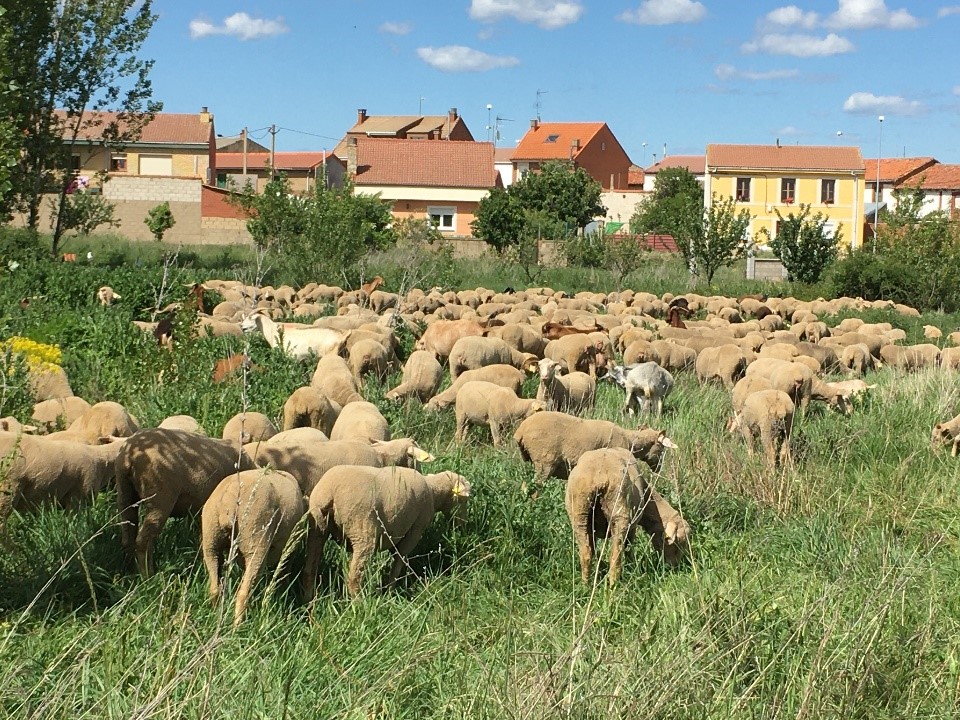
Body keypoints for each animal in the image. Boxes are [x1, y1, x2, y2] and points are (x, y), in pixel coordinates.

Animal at [116, 428, 258, 580]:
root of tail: (130, 459)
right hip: (160, 498)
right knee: (143, 540)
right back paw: (148, 576)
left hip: (125, 493)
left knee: (128, 535)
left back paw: (130, 570)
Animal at [201, 470, 306, 628]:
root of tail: (228, 499)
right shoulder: (289, 548)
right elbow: (284, 571)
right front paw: (283, 590)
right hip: (256, 539)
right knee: (243, 593)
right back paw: (238, 626)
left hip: (210, 539)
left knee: (215, 587)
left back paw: (214, 615)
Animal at [302, 464, 470, 600]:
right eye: (463, 500)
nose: (463, 525)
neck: (433, 491)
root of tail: (329, 492)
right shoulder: (415, 530)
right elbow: (399, 560)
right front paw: (390, 589)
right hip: (362, 529)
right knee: (354, 577)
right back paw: (360, 603)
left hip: (317, 529)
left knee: (310, 568)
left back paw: (309, 599)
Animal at [564, 448, 688, 584]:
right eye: (679, 543)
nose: (675, 567)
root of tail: (598, 477)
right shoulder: (632, 525)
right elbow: (629, 548)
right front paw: (632, 567)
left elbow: (594, 549)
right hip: (619, 511)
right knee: (616, 554)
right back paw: (614, 584)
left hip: (579, 512)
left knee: (586, 553)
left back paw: (586, 584)